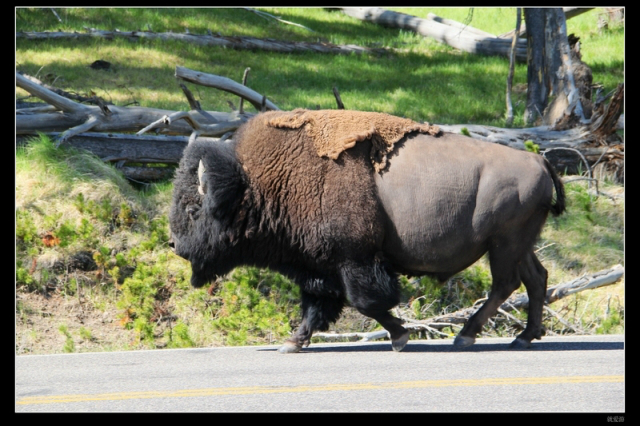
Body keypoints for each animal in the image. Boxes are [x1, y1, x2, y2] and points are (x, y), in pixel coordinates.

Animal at [170, 110, 564, 352]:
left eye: (193, 209)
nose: (173, 244)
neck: (257, 184)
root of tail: (539, 160)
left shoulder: (355, 260)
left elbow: (366, 302)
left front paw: (400, 336)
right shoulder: (318, 267)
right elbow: (316, 307)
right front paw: (293, 342)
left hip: (503, 244)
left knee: (506, 284)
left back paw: (467, 336)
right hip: (519, 244)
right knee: (536, 278)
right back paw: (524, 337)